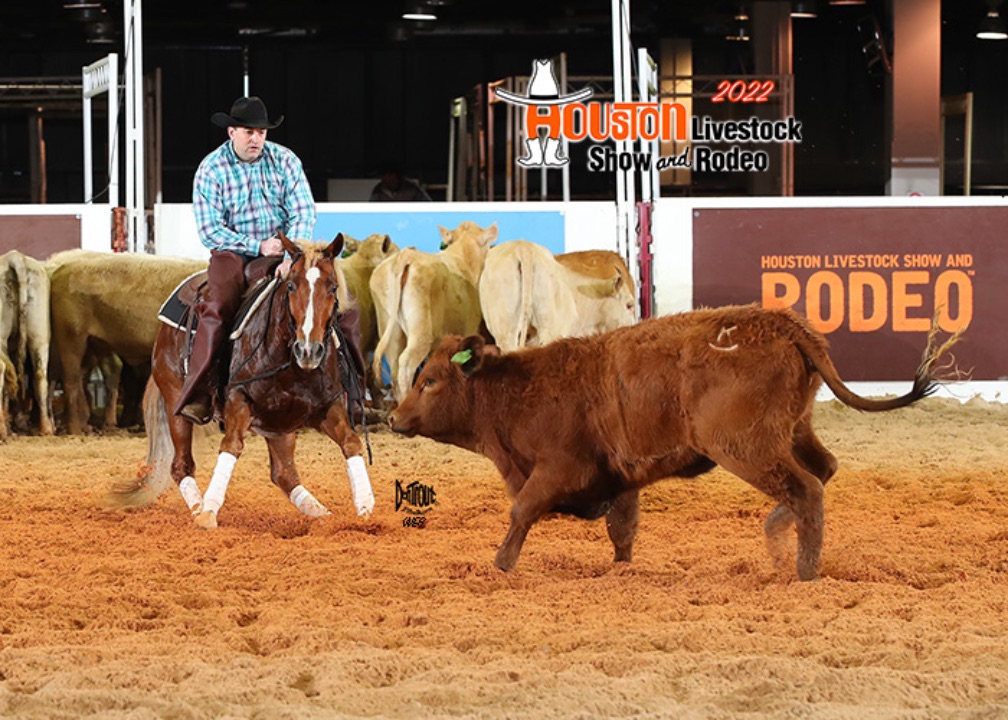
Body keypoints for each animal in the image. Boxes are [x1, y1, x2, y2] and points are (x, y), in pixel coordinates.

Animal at [108, 233, 374, 528]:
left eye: (333, 287)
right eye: (291, 286)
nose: (309, 350)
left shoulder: (327, 406)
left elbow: (351, 442)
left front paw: (365, 509)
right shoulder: (239, 400)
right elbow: (231, 446)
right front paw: (209, 513)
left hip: (279, 425)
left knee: (284, 474)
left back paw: (322, 514)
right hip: (175, 403)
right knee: (181, 465)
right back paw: (199, 508)